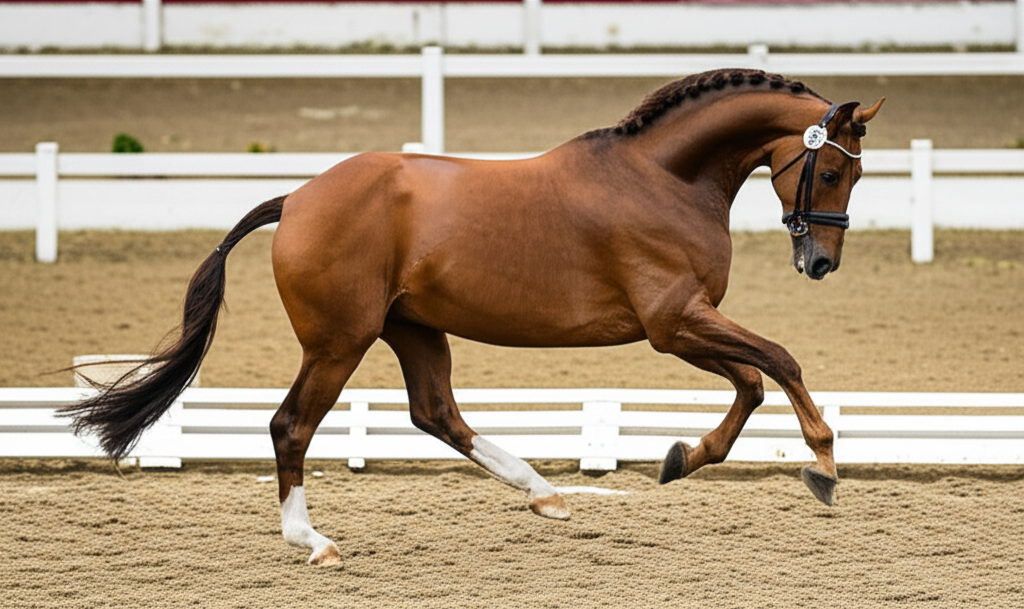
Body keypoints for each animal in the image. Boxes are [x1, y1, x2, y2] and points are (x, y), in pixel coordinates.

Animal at [60, 68, 883, 566]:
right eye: (831, 171)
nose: (821, 263)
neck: (663, 179)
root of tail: (297, 198)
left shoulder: (684, 324)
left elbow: (753, 380)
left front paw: (683, 456)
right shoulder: (673, 322)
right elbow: (777, 364)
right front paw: (822, 465)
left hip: (413, 329)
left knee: (436, 413)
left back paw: (545, 495)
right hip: (340, 341)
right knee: (292, 425)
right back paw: (312, 540)